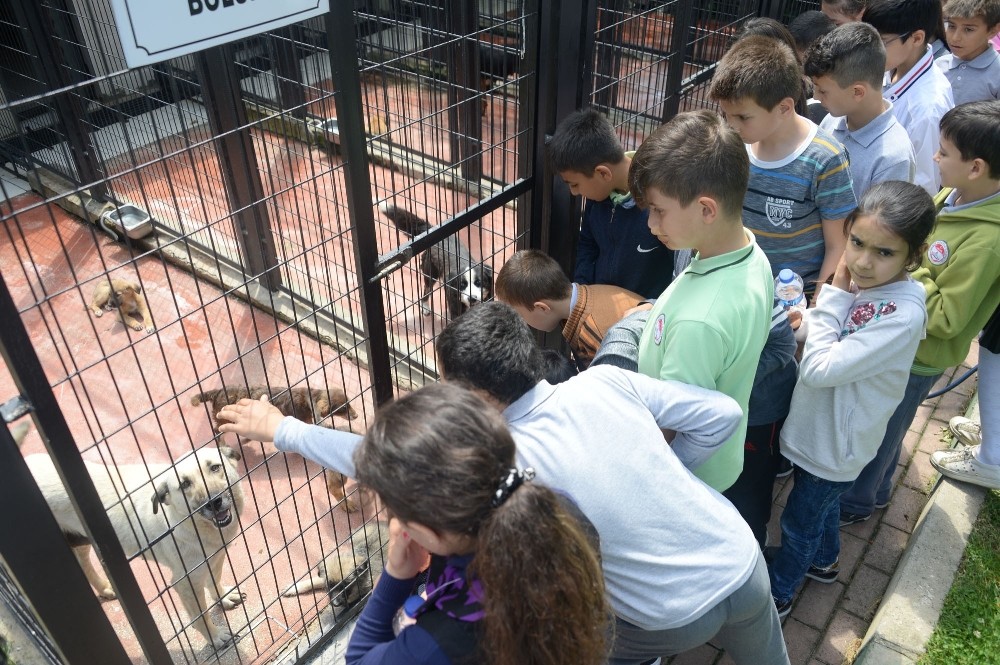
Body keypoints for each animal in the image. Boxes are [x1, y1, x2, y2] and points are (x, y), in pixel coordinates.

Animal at [26, 446, 245, 648]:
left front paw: (222, 596)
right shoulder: (185, 582)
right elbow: (201, 616)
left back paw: (104, 588)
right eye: (184, 484)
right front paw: (215, 636)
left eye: (215, 467)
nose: (214, 502)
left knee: (83, 558)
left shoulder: (215, 557)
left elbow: (214, 580)